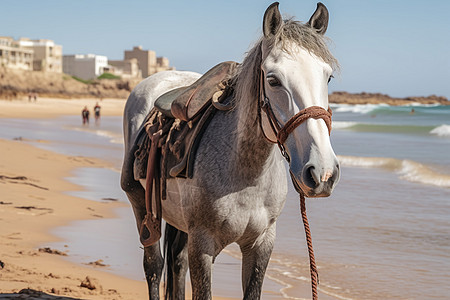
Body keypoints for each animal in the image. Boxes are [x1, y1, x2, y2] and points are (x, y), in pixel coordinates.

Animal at [121, 1, 340, 298]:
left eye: (327, 77)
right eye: (273, 80)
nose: (322, 173)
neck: (246, 174)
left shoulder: (261, 244)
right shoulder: (203, 246)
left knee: (177, 264)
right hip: (141, 204)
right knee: (154, 266)